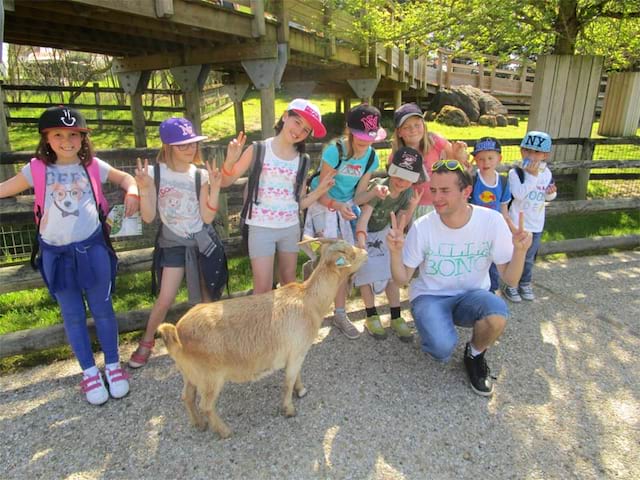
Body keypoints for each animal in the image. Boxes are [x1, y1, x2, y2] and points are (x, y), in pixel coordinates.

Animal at [158, 240, 368, 438]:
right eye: (349, 252)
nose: (365, 252)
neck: (309, 300)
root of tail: (176, 332)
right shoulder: (297, 351)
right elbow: (288, 381)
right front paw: (289, 409)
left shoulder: (296, 353)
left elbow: (296, 375)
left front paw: (300, 390)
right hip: (211, 377)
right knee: (206, 406)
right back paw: (224, 431)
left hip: (190, 374)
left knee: (186, 397)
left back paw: (199, 424)